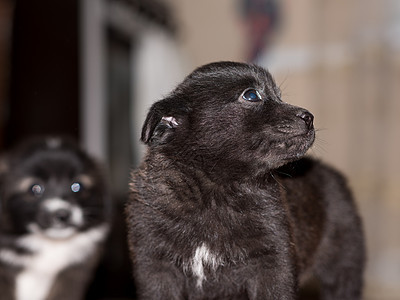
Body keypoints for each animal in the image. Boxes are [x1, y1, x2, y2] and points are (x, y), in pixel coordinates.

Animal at [126, 61, 366, 300]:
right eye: (251, 95)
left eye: (278, 95)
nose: (309, 117)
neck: (214, 191)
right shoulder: (156, 267)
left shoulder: (273, 264)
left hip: (344, 268)